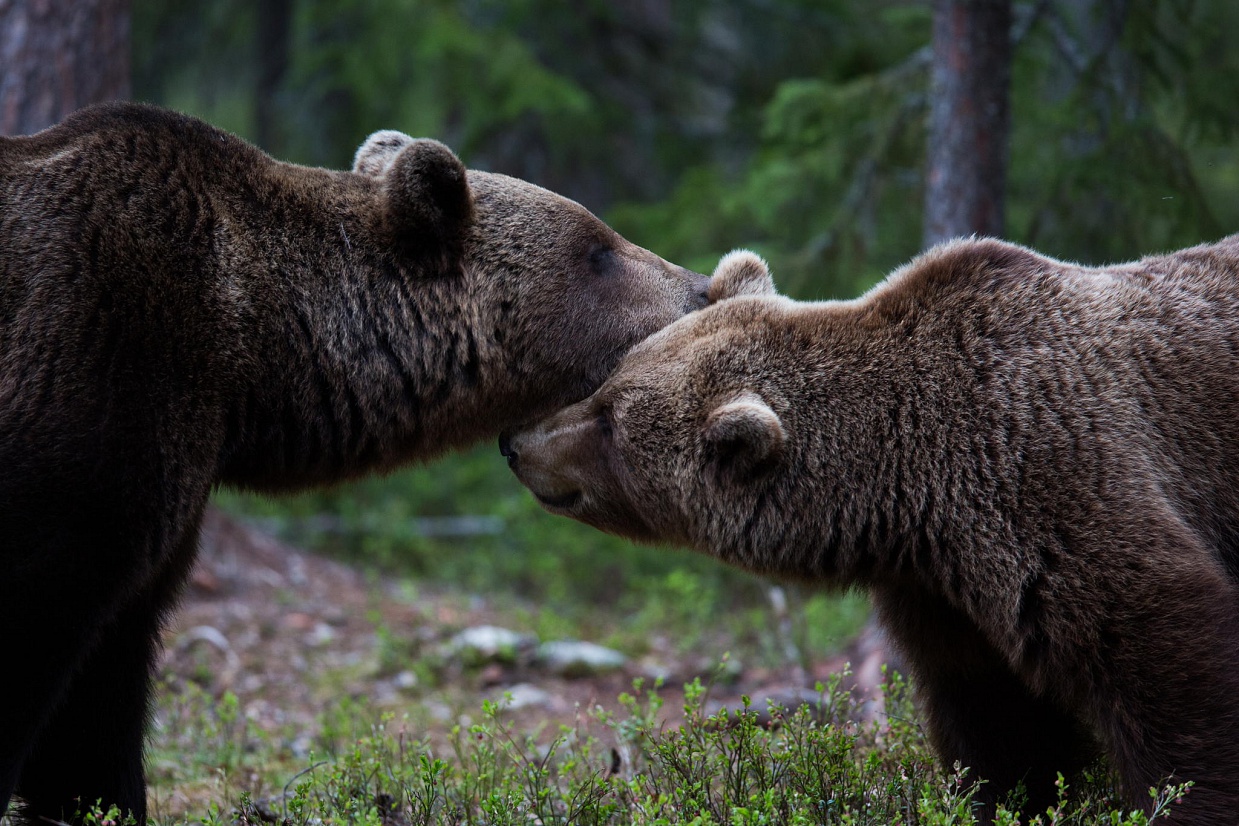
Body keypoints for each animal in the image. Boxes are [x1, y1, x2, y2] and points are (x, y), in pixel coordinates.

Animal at [0, 100, 708, 822]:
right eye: (599, 250)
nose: (703, 288)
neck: (250, 359)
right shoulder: (96, 377)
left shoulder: (151, 500)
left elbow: (100, 698)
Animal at [500, 239, 1239, 822]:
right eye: (607, 380)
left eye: (610, 422)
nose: (516, 441)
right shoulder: (945, 595)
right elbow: (1002, 726)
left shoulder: (1056, 480)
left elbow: (1171, 674)